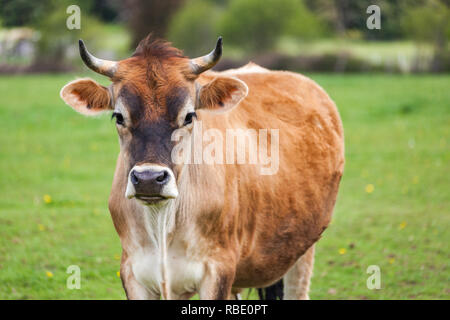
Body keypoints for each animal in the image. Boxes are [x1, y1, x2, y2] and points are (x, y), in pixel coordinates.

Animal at [59, 35, 344, 300]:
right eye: (119, 116)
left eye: (189, 116)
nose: (149, 178)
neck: (163, 222)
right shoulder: (133, 272)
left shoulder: (218, 271)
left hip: (302, 251)